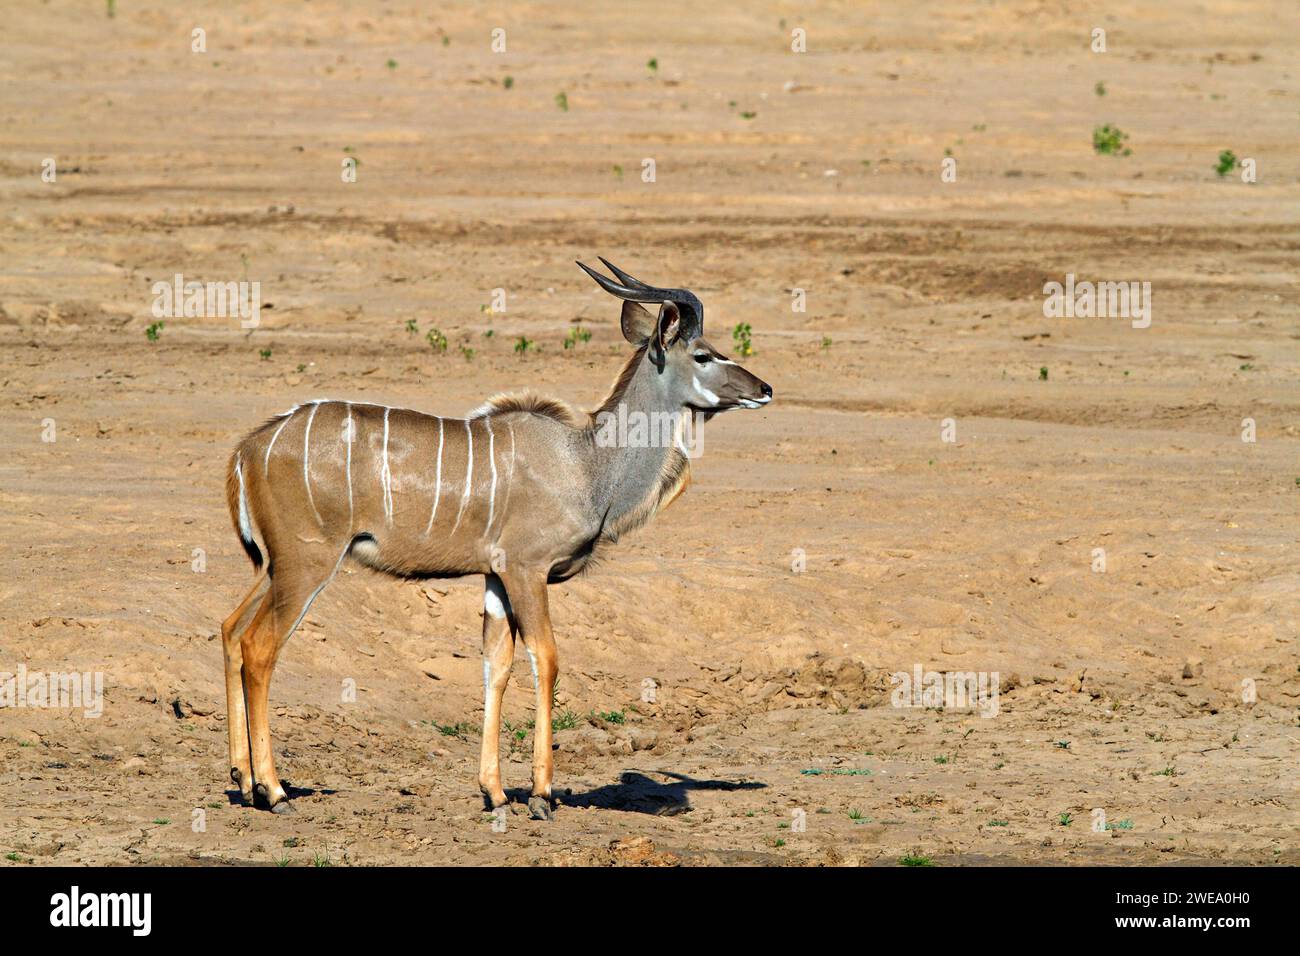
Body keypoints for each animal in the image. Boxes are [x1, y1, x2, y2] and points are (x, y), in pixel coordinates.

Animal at [220, 257, 769, 816]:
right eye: (703, 354)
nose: (764, 389)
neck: (586, 461)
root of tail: (251, 447)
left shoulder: (495, 577)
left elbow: (496, 665)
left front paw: (496, 792)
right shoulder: (527, 570)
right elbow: (546, 658)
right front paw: (541, 795)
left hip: (275, 566)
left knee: (231, 630)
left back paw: (243, 779)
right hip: (307, 564)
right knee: (260, 647)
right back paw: (274, 791)